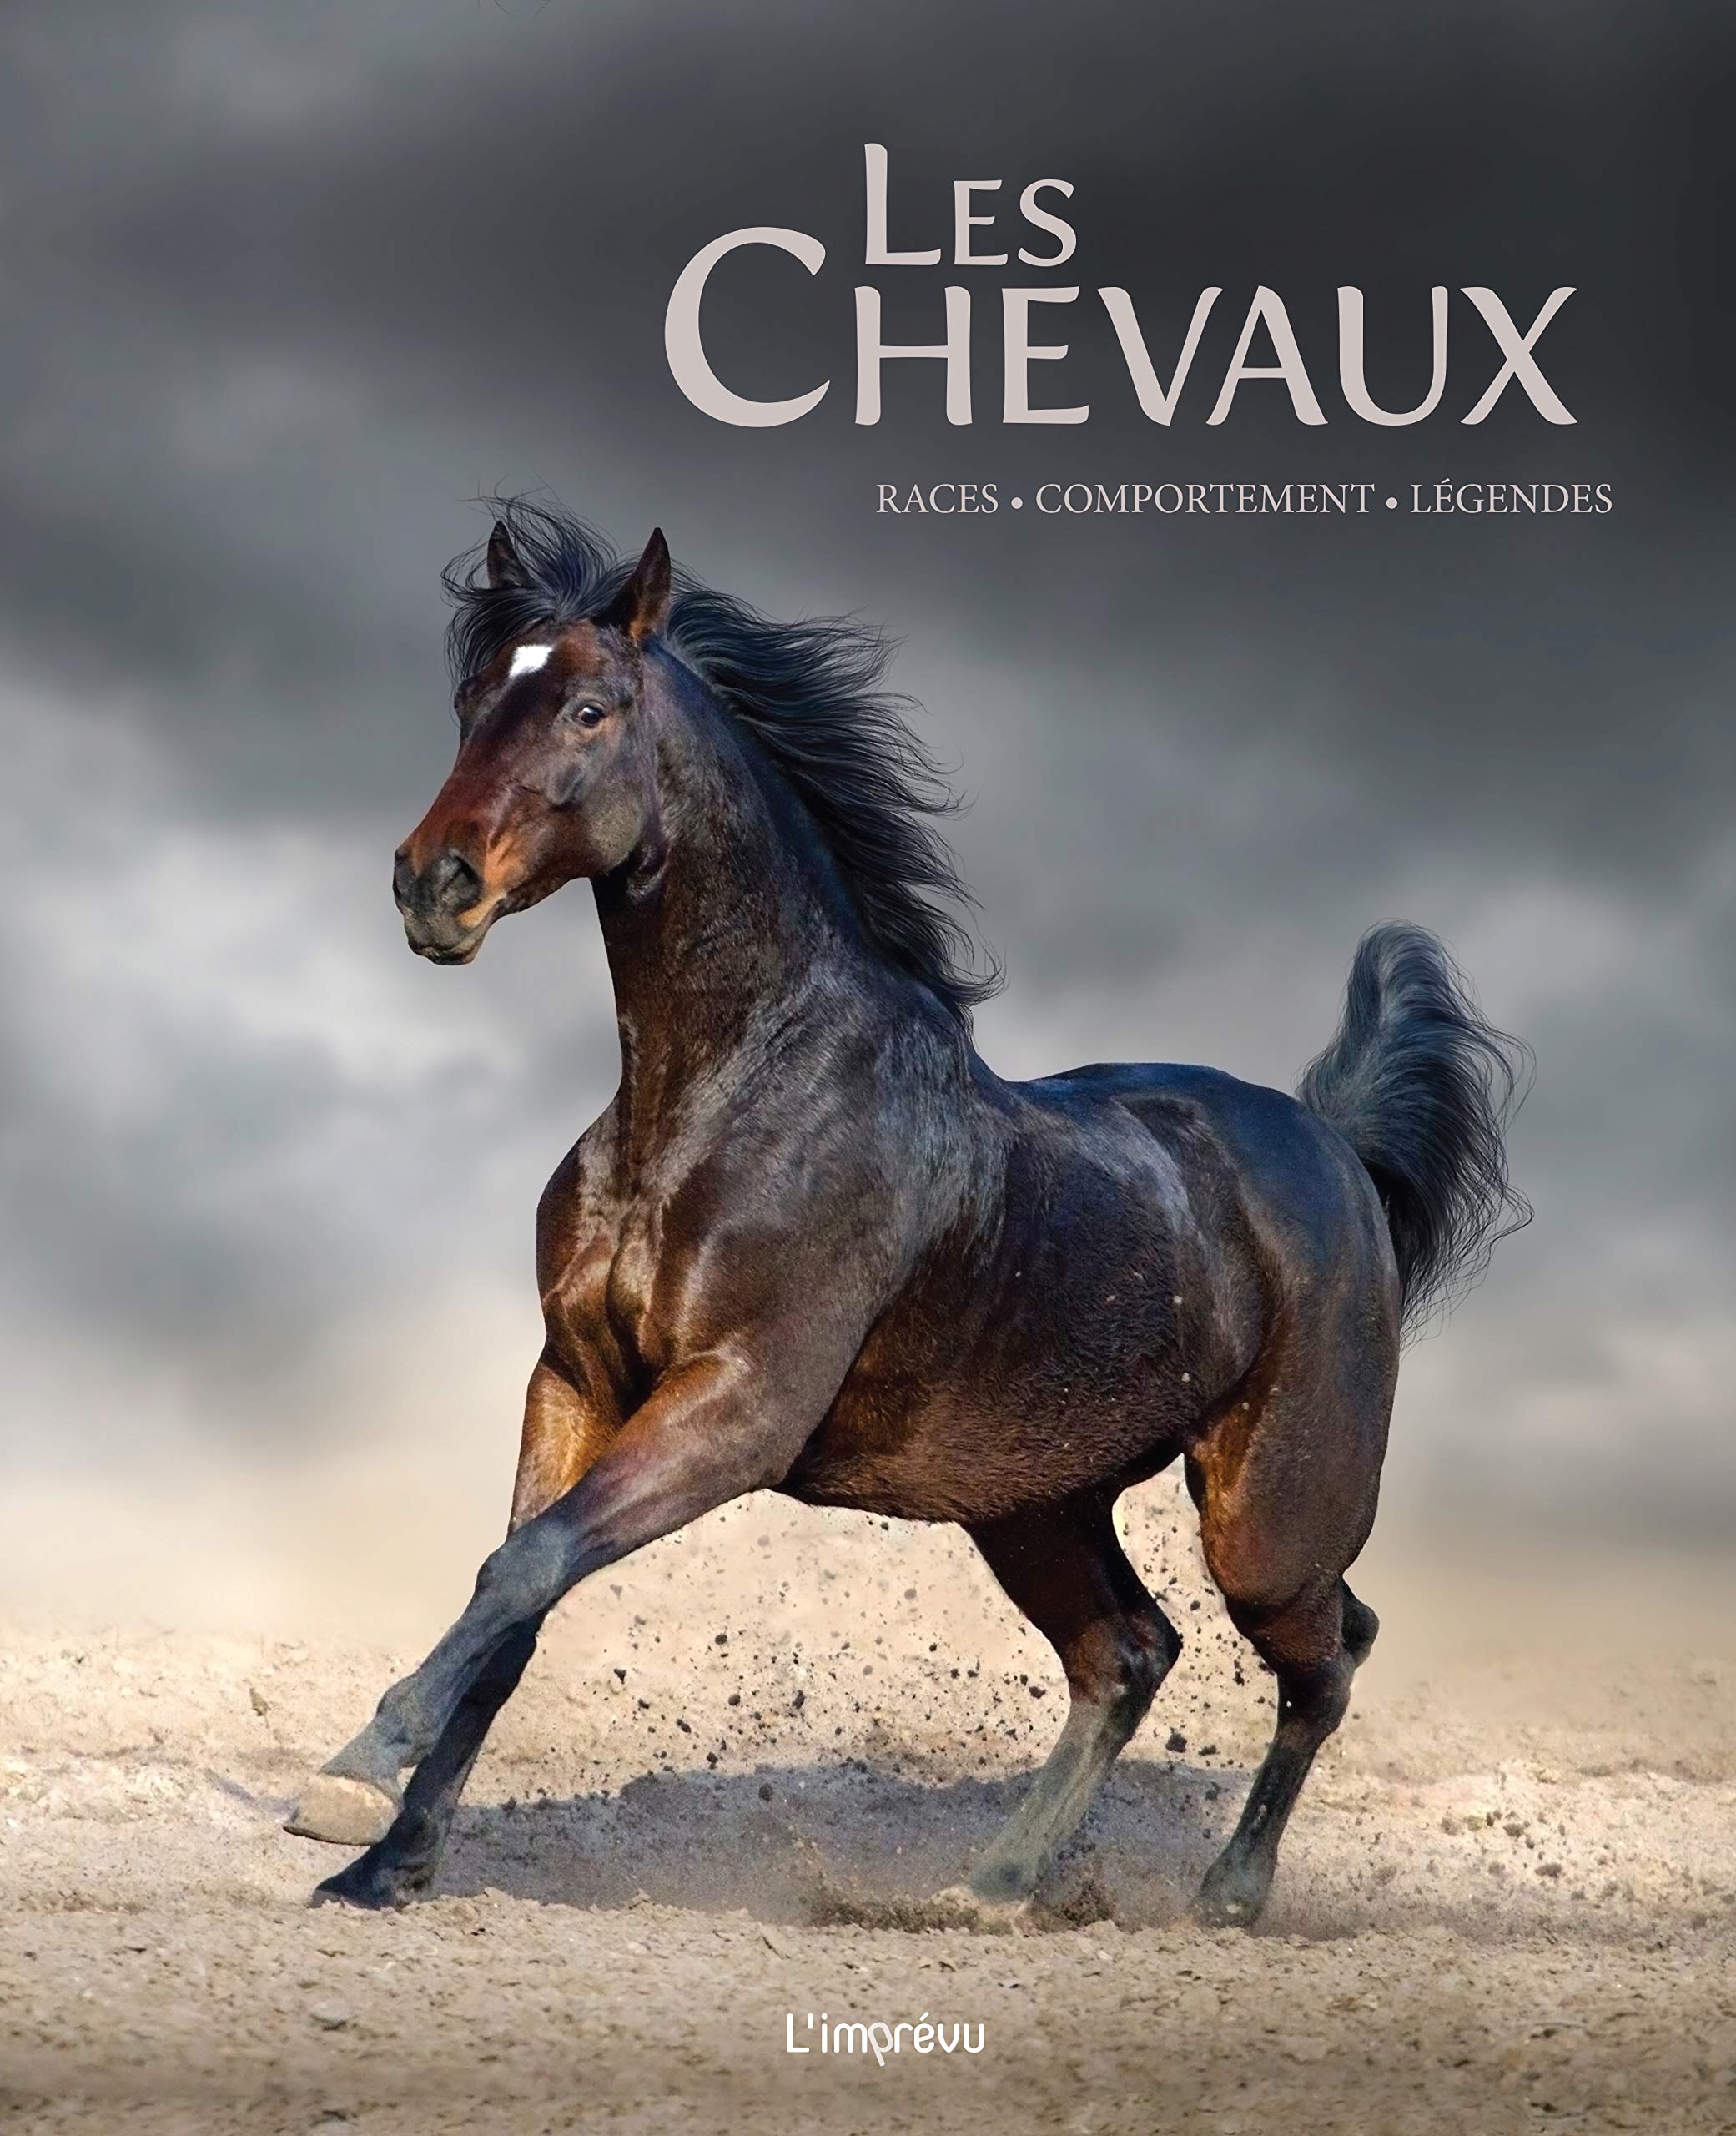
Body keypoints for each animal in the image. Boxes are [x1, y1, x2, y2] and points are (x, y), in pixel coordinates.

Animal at [286, 501, 1529, 1926]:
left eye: (590, 709)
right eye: (474, 698)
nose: (430, 886)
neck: (730, 1094)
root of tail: (1333, 1142)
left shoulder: (736, 1409)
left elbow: (523, 1571)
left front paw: (346, 1781)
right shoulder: (576, 1382)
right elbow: (515, 1606)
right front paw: (385, 1867)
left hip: (1265, 1517)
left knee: (1326, 1654)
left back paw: (1224, 1896)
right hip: (1034, 1501)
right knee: (1129, 1652)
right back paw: (989, 1887)